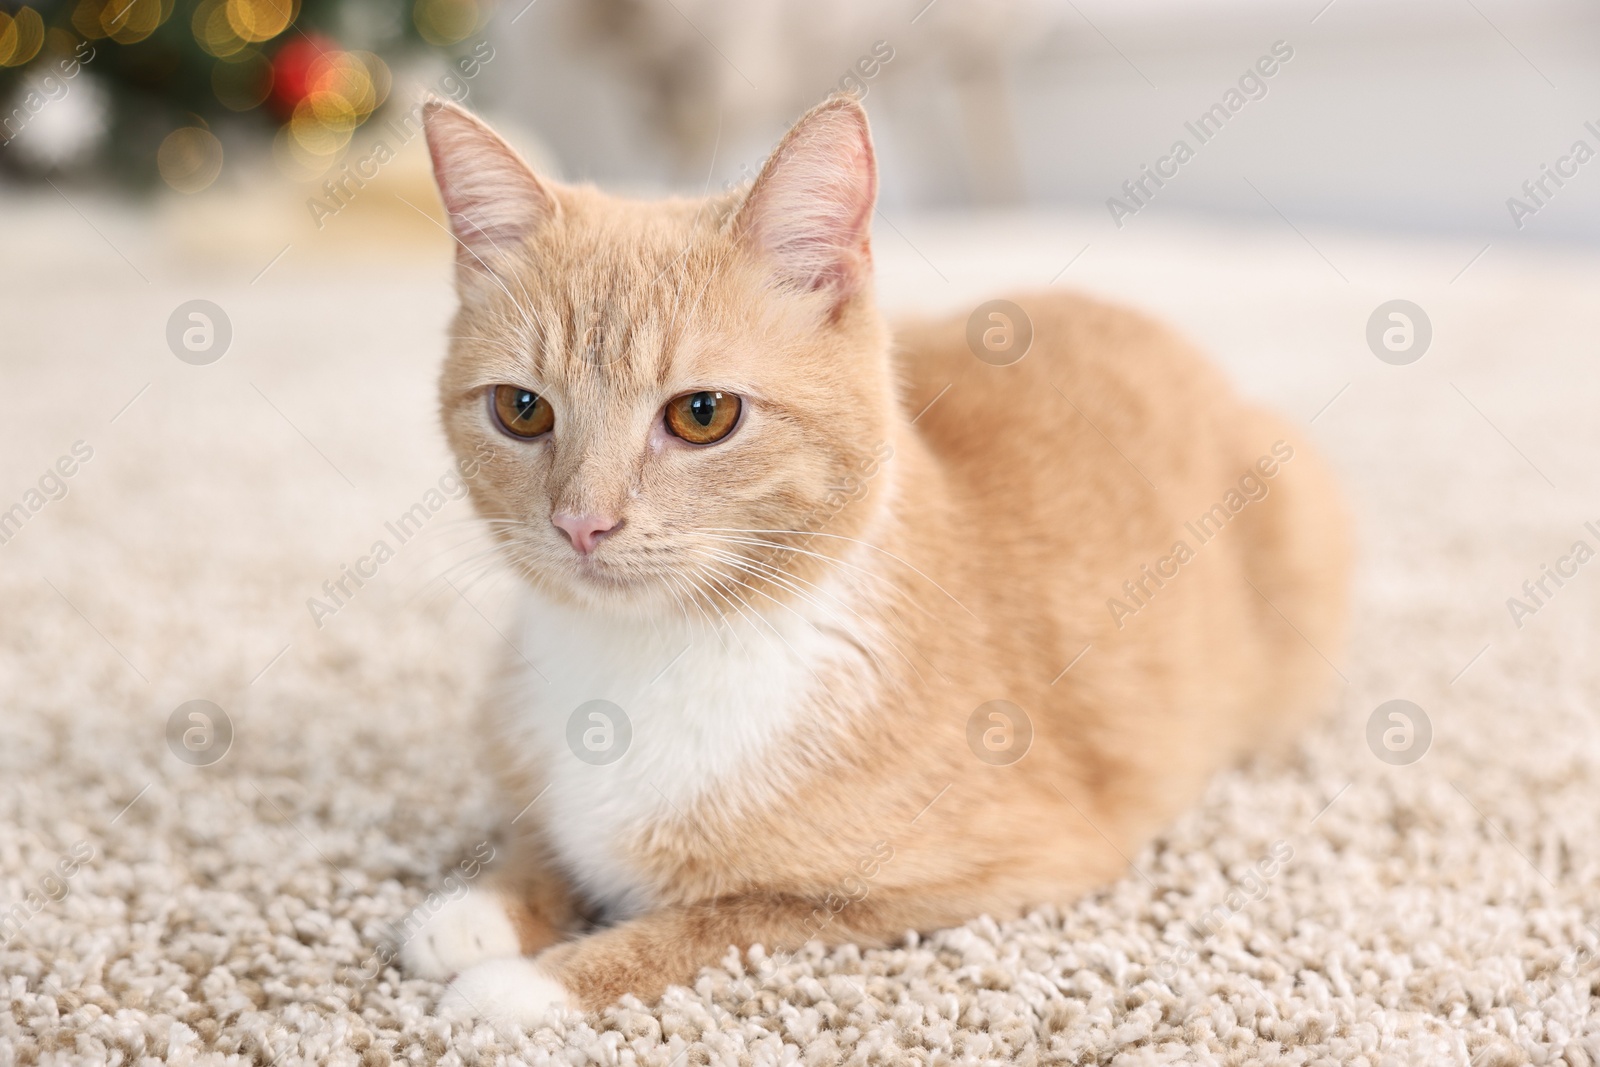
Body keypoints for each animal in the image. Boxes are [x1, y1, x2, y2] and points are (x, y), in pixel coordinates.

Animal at [403, 93, 1350, 1023]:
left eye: (703, 414)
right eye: (522, 409)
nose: (582, 523)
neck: (649, 654)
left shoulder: (995, 870)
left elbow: (718, 919)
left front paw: (533, 981)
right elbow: (545, 839)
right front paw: (480, 907)